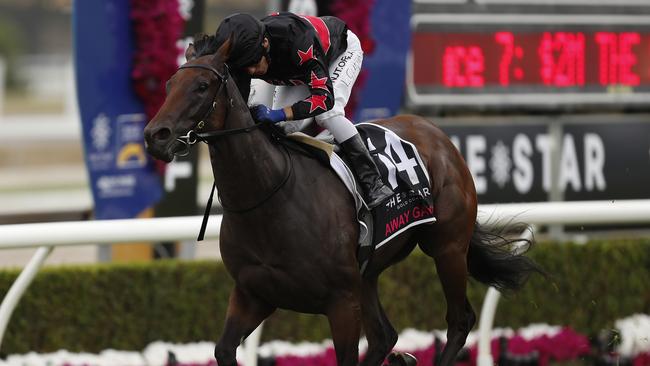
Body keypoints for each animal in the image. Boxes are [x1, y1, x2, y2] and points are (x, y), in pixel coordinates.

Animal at [143, 38, 540, 366]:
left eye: (201, 86)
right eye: (168, 86)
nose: (155, 135)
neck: (270, 197)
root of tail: (438, 136)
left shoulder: (341, 303)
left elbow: (324, 100)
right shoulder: (253, 294)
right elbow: (224, 350)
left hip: (448, 247)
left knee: (459, 320)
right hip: (368, 274)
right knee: (384, 337)